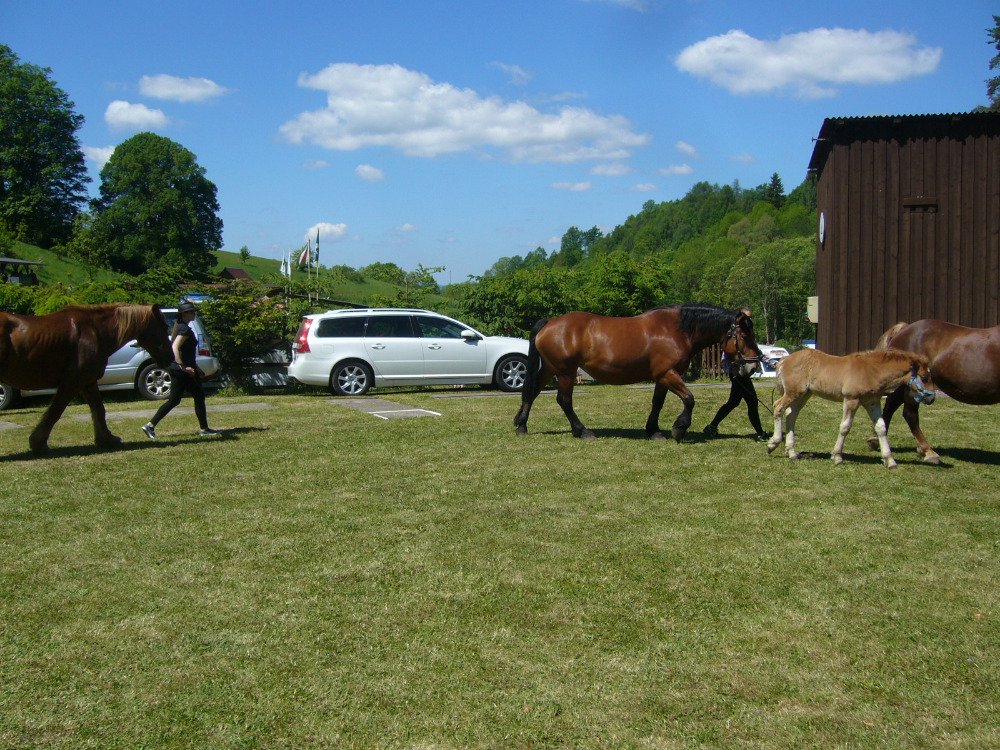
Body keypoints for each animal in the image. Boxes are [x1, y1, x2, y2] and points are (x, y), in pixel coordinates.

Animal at [0, 304, 171, 456]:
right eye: (163, 326)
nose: (169, 357)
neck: (94, 332)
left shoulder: (88, 382)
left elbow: (99, 409)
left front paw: (106, 439)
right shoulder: (72, 383)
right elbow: (55, 412)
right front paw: (38, 444)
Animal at [512, 306, 760, 444]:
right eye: (744, 336)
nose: (753, 367)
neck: (675, 330)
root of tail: (550, 323)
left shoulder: (662, 377)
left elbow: (657, 403)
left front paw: (654, 430)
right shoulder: (668, 374)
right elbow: (689, 399)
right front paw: (679, 428)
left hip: (551, 369)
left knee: (531, 393)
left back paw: (522, 426)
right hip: (565, 371)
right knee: (564, 400)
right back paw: (582, 431)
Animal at [764, 348, 936, 470]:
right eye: (924, 377)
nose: (932, 398)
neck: (872, 370)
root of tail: (785, 359)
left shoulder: (872, 402)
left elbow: (881, 427)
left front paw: (890, 460)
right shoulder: (851, 400)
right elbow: (845, 427)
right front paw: (837, 457)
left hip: (804, 394)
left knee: (791, 415)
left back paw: (792, 452)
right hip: (794, 392)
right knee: (778, 407)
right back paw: (773, 443)